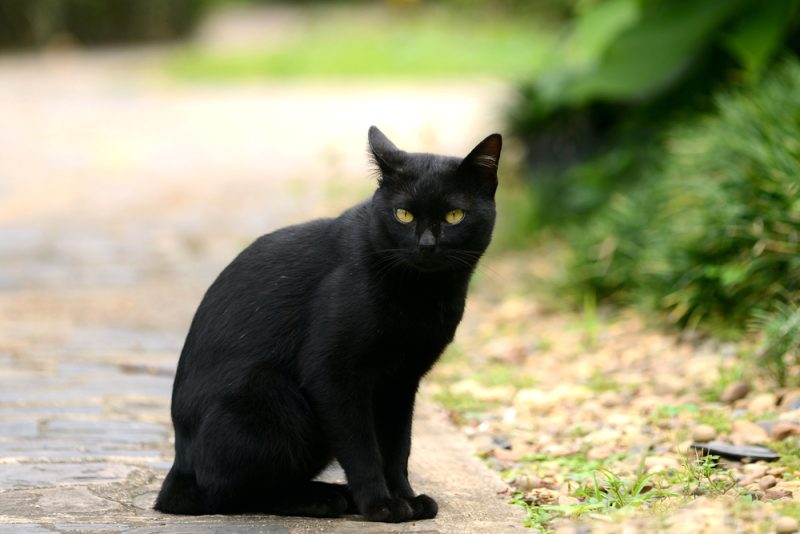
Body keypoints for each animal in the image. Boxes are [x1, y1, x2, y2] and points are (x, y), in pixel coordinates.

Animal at [155, 126, 500, 524]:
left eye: (455, 215)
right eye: (403, 215)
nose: (427, 245)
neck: (422, 294)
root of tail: (179, 464)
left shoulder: (400, 381)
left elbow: (398, 448)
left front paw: (405, 498)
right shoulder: (333, 374)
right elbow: (362, 449)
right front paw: (380, 505)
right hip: (267, 392)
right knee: (233, 492)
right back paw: (322, 499)